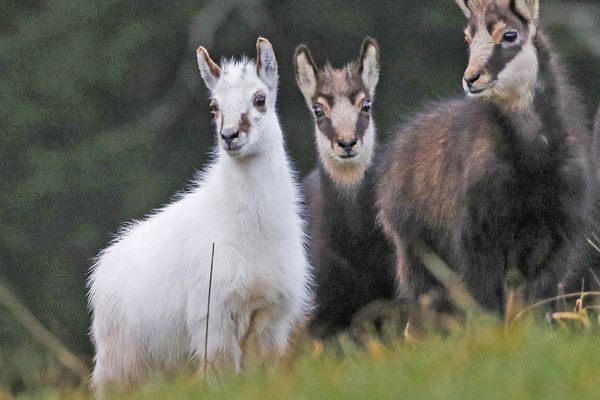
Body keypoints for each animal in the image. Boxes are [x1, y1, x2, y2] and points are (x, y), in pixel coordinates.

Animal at [378, 0, 592, 312]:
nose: (471, 79)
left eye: (510, 35)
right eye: (468, 38)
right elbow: (485, 301)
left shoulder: (557, 239)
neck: (532, 158)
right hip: (417, 252)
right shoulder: (477, 237)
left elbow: (535, 303)